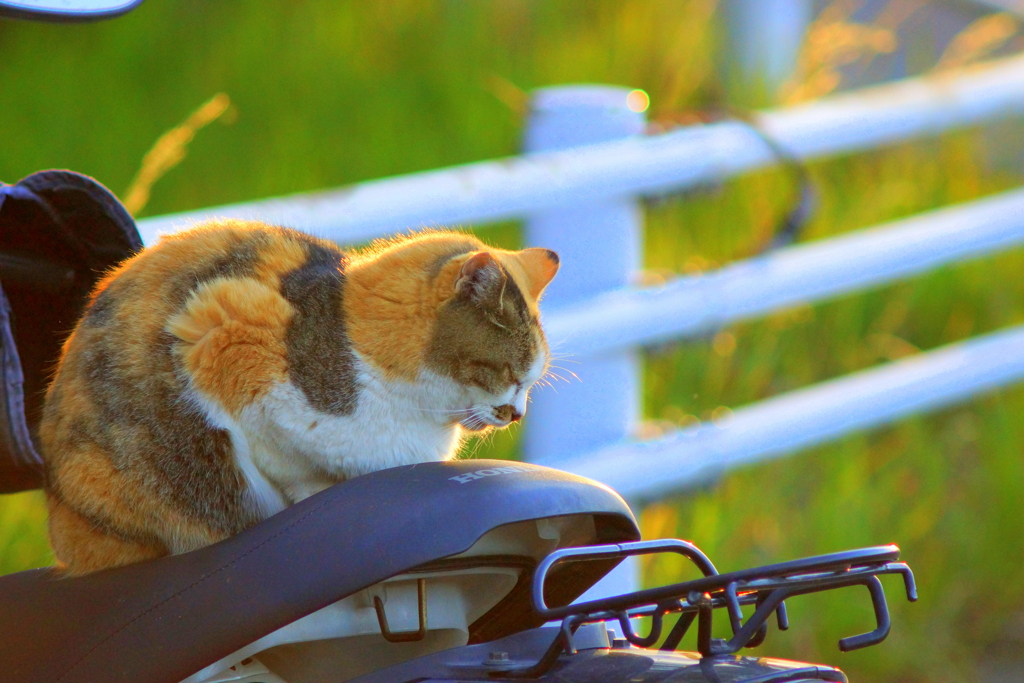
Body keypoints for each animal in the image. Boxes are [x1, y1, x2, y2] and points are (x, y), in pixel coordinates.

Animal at [37, 222, 561, 573]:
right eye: (509, 373)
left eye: (531, 382)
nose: (516, 414)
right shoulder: (220, 332)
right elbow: (285, 466)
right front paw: (313, 494)